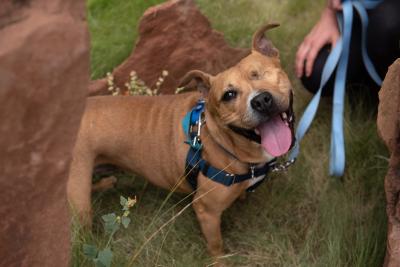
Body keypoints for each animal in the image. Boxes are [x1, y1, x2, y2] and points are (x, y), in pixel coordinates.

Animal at [68, 23, 294, 262]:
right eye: (229, 95)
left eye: (264, 73)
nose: (260, 100)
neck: (218, 137)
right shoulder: (206, 211)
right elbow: (216, 246)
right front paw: (220, 261)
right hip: (80, 205)